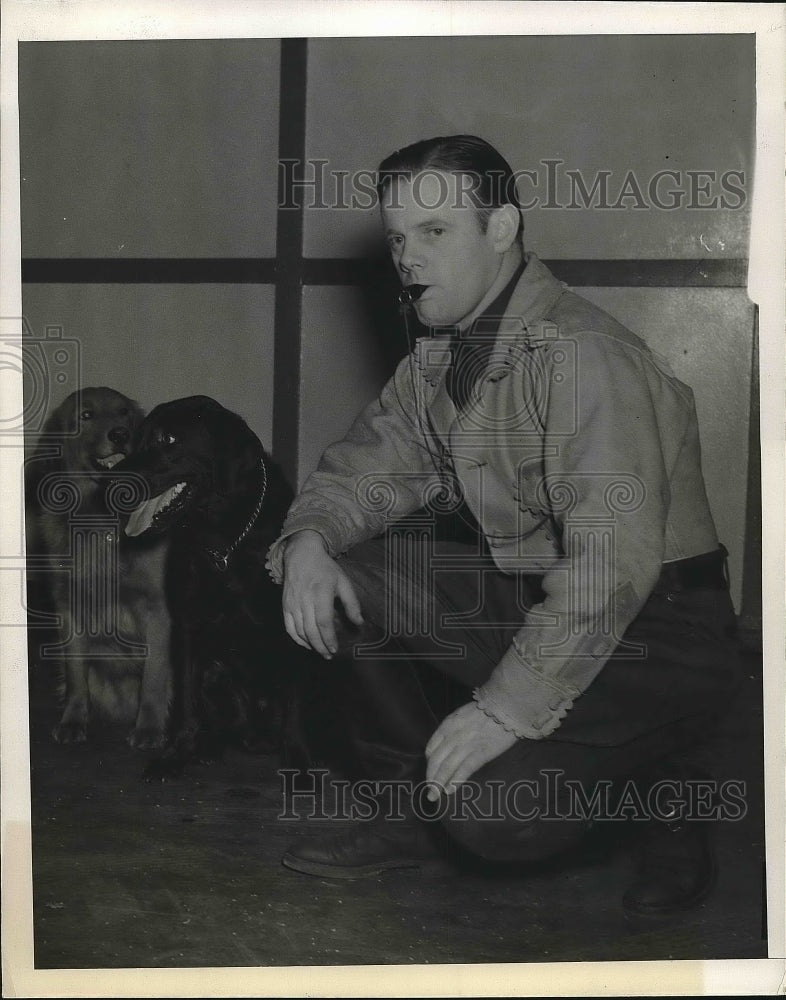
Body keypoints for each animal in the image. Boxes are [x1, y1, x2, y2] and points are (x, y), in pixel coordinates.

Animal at [26, 386, 172, 748]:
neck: (99, 520)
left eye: (123, 413)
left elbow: (155, 676)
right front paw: (73, 721)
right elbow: (77, 676)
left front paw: (149, 728)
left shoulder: (158, 611)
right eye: (86, 415)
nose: (120, 434)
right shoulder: (68, 608)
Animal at [114, 394, 316, 776]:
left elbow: (296, 709)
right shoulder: (188, 628)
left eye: (169, 439)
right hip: (216, 673)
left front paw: (298, 765)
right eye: (137, 438)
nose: (109, 481)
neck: (224, 540)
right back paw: (207, 746)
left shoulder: (291, 627)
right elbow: (186, 704)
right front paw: (175, 755)